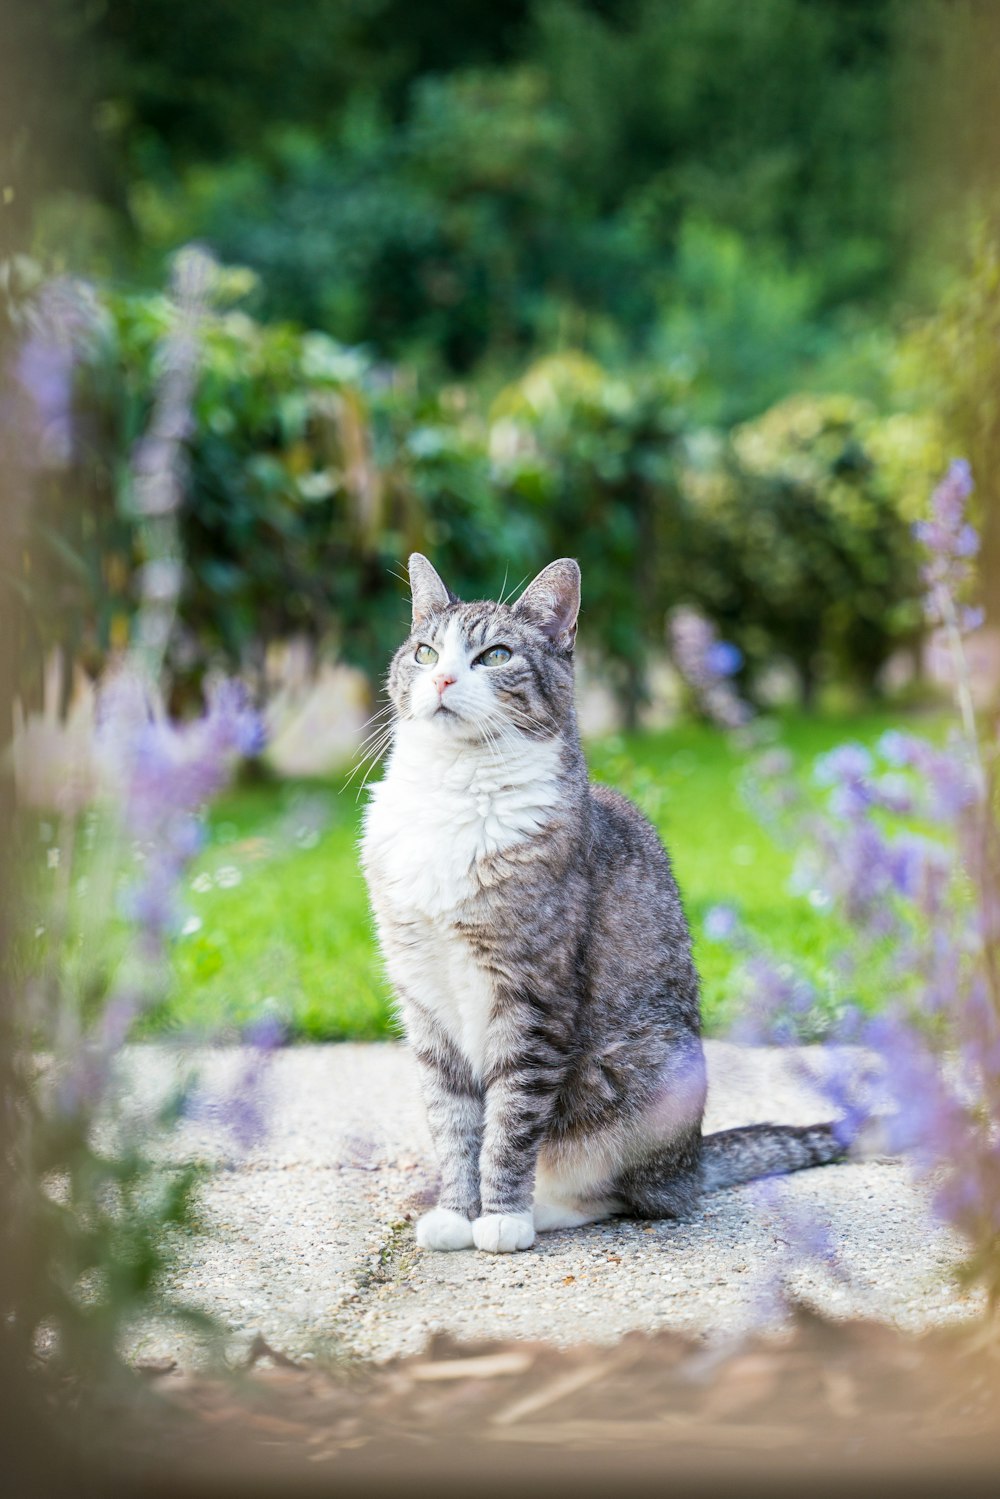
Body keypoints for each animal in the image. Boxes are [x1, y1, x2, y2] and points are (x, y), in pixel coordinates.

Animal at [359, 554, 845, 1253]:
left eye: (495, 655)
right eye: (425, 652)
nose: (445, 677)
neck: (454, 792)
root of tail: (694, 1163)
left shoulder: (531, 998)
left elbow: (509, 1124)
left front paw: (501, 1216)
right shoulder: (424, 997)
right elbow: (452, 1120)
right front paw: (456, 1210)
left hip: (643, 1077)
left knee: (632, 1195)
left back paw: (548, 1209)